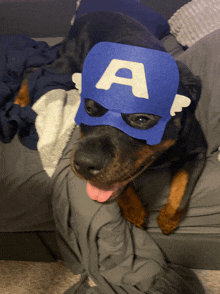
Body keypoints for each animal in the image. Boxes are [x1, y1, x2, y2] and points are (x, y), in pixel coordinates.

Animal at [14, 11, 207, 234]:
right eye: (89, 109)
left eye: (142, 119)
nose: (84, 164)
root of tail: (88, 15)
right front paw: (133, 209)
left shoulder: (197, 150)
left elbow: (183, 188)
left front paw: (168, 219)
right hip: (69, 65)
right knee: (34, 69)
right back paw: (20, 100)